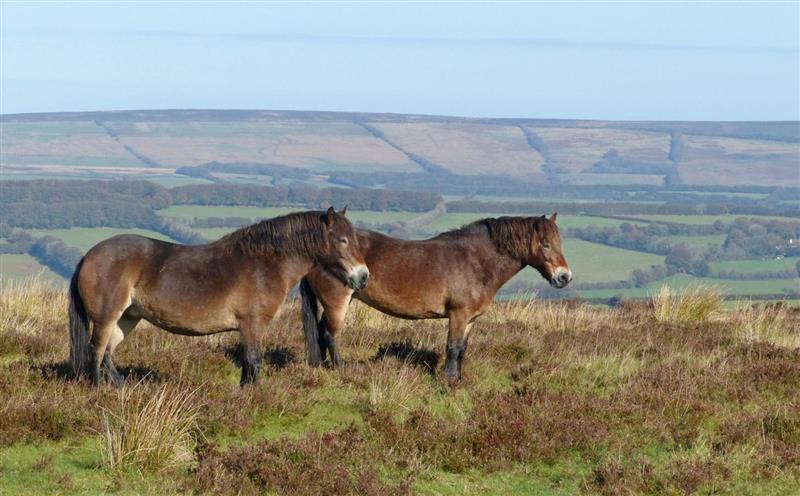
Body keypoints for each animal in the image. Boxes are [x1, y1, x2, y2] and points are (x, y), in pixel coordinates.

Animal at [69, 207, 368, 386]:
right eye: (342, 240)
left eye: (354, 238)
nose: (363, 276)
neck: (265, 263)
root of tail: (89, 255)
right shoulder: (252, 324)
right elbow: (254, 360)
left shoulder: (248, 327)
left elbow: (248, 363)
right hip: (107, 317)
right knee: (97, 350)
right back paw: (98, 390)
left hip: (127, 318)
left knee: (108, 352)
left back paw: (122, 389)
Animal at [298, 213, 568, 380]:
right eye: (545, 244)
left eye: (559, 242)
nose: (565, 277)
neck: (474, 261)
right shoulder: (458, 315)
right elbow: (453, 347)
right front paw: (447, 381)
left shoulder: (470, 319)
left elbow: (462, 349)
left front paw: (458, 380)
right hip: (337, 302)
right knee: (330, 333)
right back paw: (340, 369)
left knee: (321, 331)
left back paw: (322, 366)